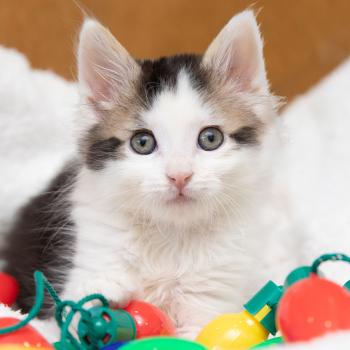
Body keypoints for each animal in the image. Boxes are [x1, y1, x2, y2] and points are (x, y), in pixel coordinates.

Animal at [1, 10, 278, 340]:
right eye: (142, 143)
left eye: (211, 139)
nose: (179, 176)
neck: (171, 236)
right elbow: (70, 309)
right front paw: (102, 290)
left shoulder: (212, 299)